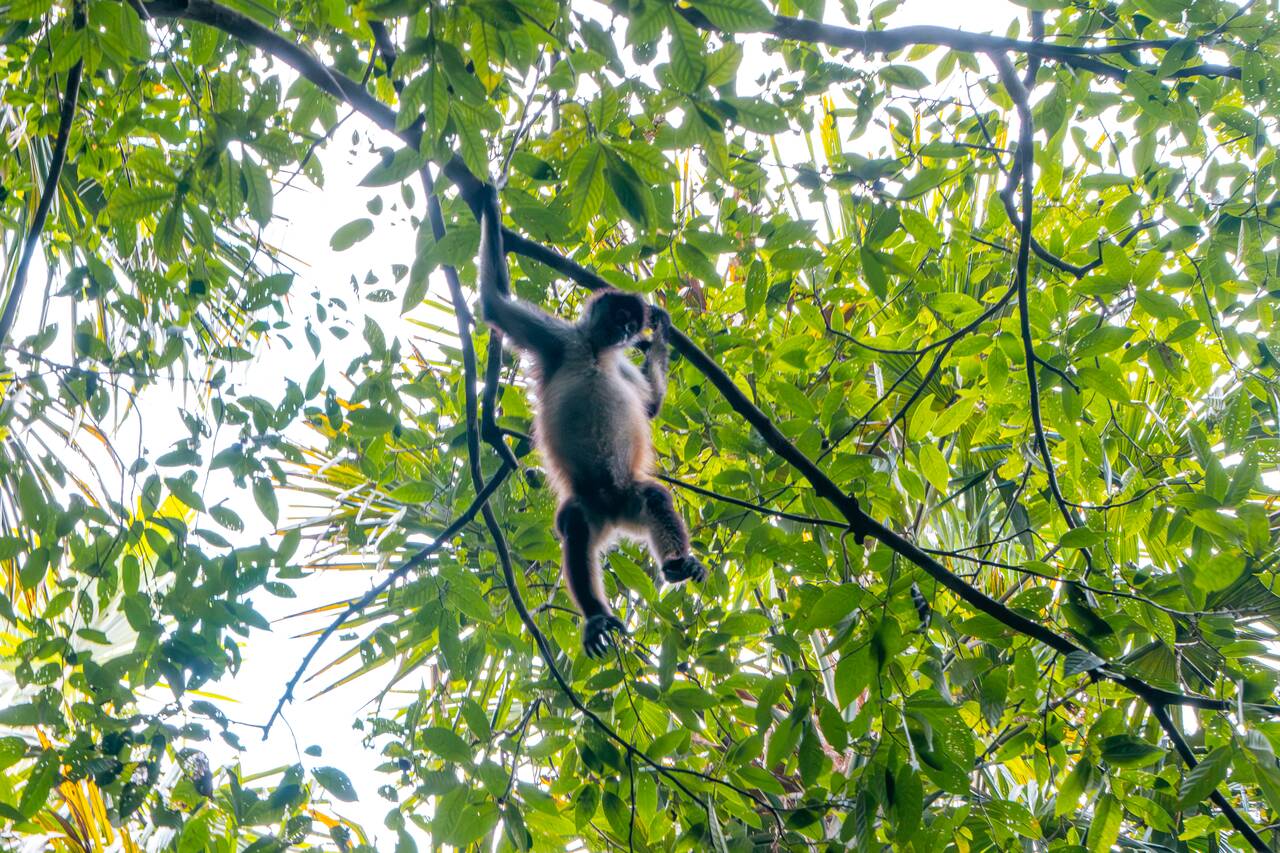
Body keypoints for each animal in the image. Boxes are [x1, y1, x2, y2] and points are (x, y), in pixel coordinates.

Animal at [475, 185, 706, 657]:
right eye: (619, 318)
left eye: (631, 324)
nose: (627, 333)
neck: (597, 351)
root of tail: (613, 512)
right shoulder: (559, 339)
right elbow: (494, 302)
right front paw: (488, 200)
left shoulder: (618, 364)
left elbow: (650, 406)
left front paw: (663, 330)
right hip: (587, 507)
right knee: (575, 527)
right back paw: (596, 615)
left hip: (631, 498)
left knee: (654, 497)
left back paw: (677, 565)